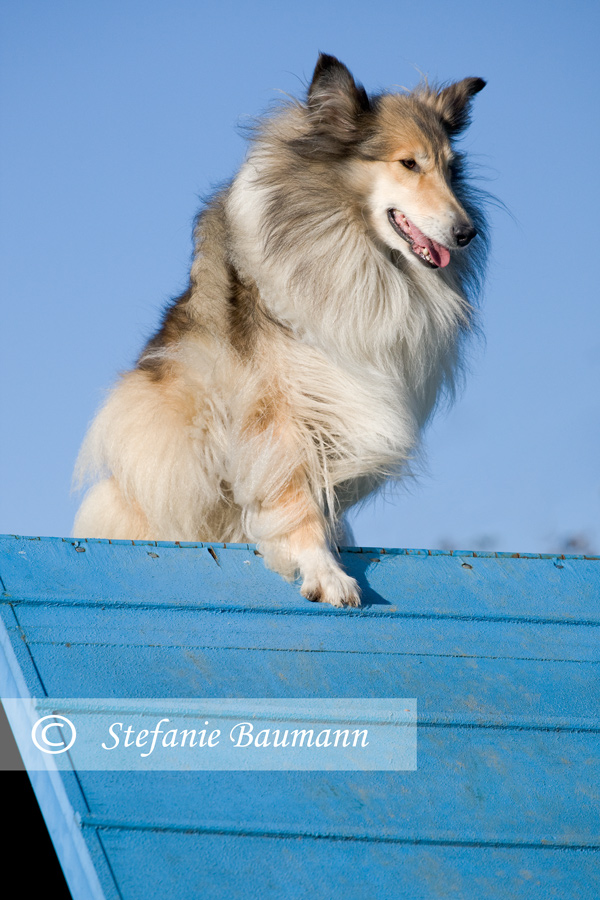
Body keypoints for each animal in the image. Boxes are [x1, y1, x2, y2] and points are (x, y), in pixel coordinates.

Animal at [74, 52, 488, 608]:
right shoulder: (277, 409)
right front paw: (326, 574)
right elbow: (294, 502)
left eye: (451, 169)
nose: (468, 233)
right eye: (408, 164)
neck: (357, 249)